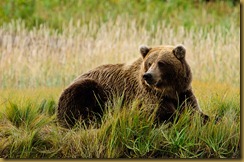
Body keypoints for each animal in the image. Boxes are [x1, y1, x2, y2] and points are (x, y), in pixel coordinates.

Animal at [57, 44, 210, 128]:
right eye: (149, 63)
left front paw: (206, 117)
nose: (148, 76)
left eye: (161, 63)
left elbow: (193, 109)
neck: (169, 90)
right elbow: (159, 113)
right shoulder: (147, 95)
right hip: (88, 88)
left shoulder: (183, 92)